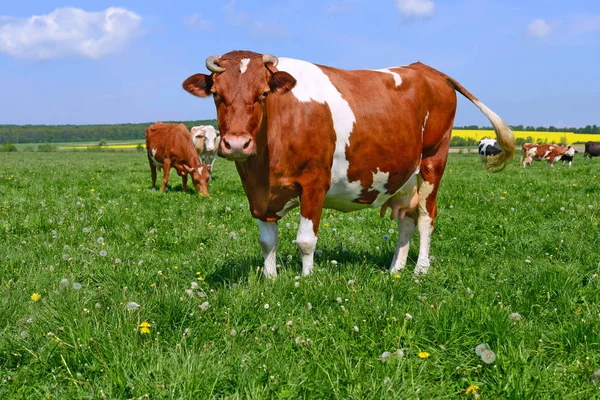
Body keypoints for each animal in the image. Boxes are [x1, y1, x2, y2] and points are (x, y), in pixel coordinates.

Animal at [180, 50, 512, 278]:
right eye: (216, 95)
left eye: (262, 94)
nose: (237, 144)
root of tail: (427, 69)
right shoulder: (258, 192)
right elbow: (267, 241)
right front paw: (271, 279)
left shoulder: (314, 183)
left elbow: (306, 240)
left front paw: (305, 280)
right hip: (404, 174)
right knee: (405, 219)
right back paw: (395, 270)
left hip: (433, 160)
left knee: (425, 217)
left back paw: (420, 270)